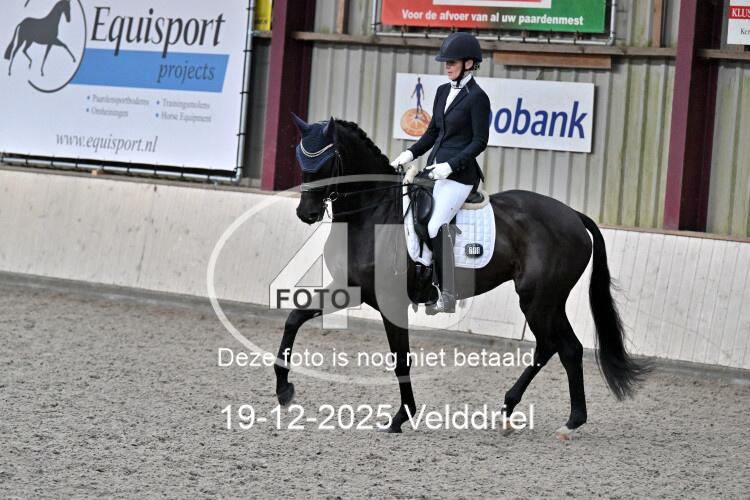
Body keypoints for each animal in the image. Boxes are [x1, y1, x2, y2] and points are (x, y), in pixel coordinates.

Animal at [275, 115, 650, 439]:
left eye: (329, 159)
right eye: (300, 157)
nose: (306, 213)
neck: (372, 214)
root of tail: (573, 215)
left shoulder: (391, 301)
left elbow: (401, 359)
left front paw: (401, 417)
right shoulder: (350, 288)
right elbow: (294, 318)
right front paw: (284, 391)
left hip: (536, 299)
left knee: (549, 346)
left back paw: (512, 410)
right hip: (551, 300)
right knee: (569, 348)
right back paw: (569, 421)